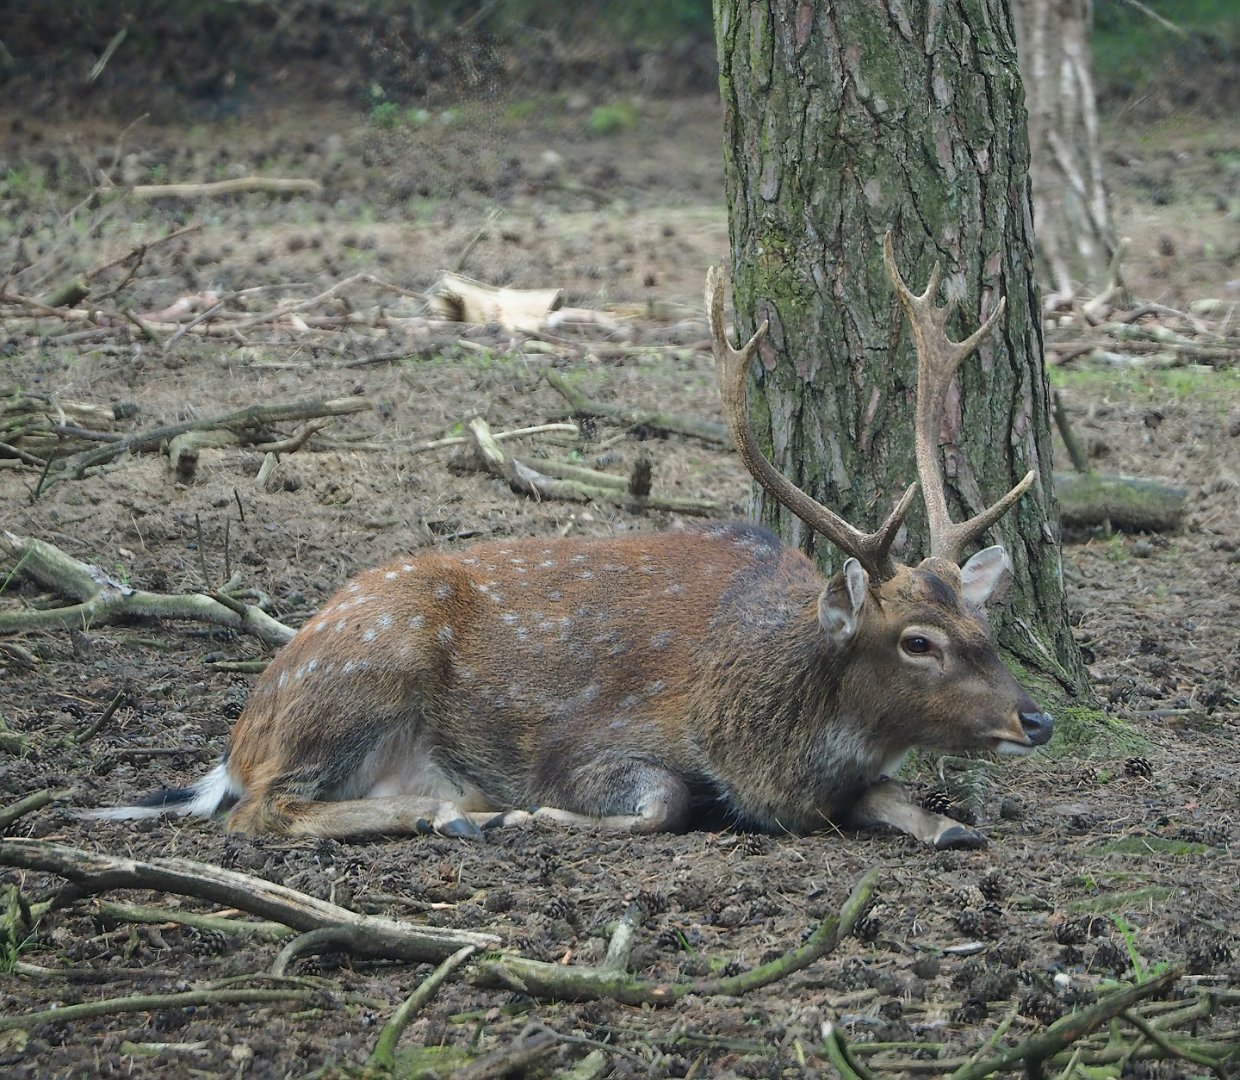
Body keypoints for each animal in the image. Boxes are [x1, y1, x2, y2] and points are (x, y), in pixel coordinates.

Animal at [89, 233, 1053, 849]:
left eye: (984, 627)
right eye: (917, 642)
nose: (1035, 716)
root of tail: (238, 736)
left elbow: (915, 805)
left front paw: (949, 823)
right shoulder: (589, 742)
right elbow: (663, 799)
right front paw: (532, 816)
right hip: (365, 663)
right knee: (260, 810)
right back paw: (454, 814)